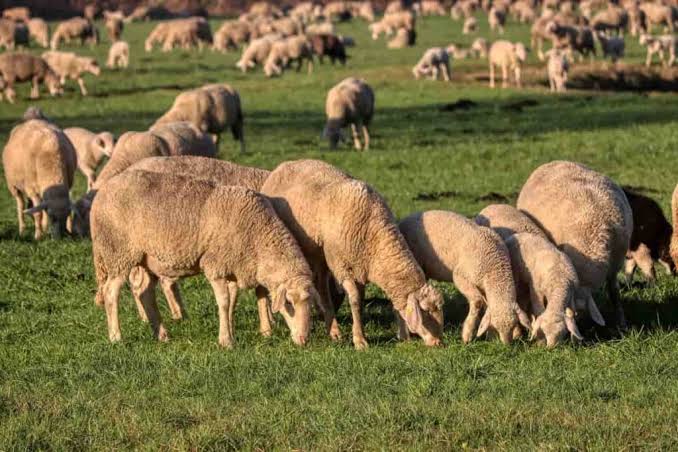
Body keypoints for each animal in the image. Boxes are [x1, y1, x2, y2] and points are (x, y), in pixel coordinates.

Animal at [261, 159, 445, 349]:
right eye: (426, 311)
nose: (438, 342)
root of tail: (284, 164)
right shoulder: (343, 268)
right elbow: (355, 300)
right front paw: (360, 340)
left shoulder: (360, 268)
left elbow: (361, 301)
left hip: (320, 254)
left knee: (321, 285)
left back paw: (331, 327)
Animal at [399, 210, 530, 344]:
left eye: (514, 325)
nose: (506, 345)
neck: (495, 266)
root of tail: (406, 218)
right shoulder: (460, 276)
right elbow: (478, 302)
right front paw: (467, 334)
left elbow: (486, 305)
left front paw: (490, 335)